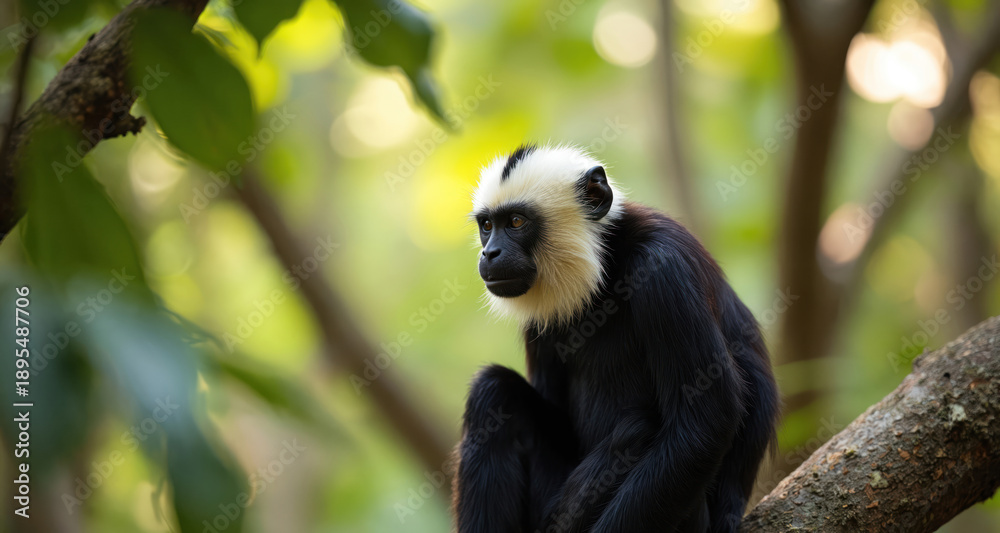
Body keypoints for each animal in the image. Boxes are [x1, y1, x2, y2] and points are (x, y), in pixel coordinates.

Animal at [452, 144, 779, 533]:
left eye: (516, 222)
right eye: (487, 226)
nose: (489, 253)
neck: (605, 273)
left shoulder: (663, 268)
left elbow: (707, 420)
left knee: (638, 430)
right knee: (494, 392)